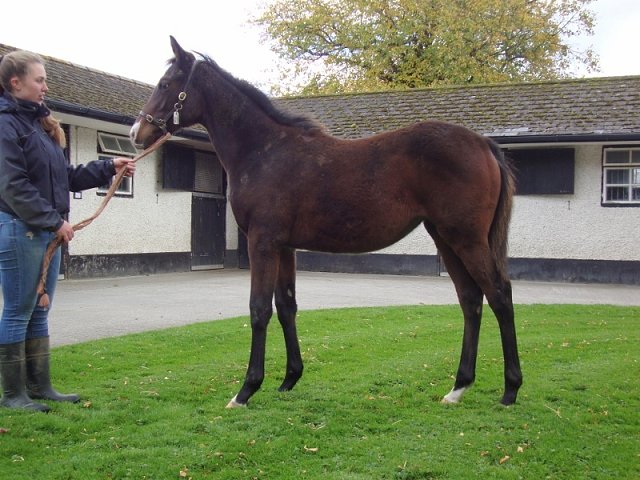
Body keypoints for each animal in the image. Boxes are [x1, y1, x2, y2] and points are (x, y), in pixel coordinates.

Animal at [129, 35, 520, 406]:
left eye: (165, 84)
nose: (136, 133)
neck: (264, 151)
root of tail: (484, 144)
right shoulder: (284, 247)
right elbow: (286, 306)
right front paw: (288, 380)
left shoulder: (262, 242)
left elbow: (259, 309)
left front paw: (246, 390)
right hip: (445, 237)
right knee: (470, 299)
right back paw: (458, 389)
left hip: (466, 239)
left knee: (499, 295)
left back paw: (510, 390)